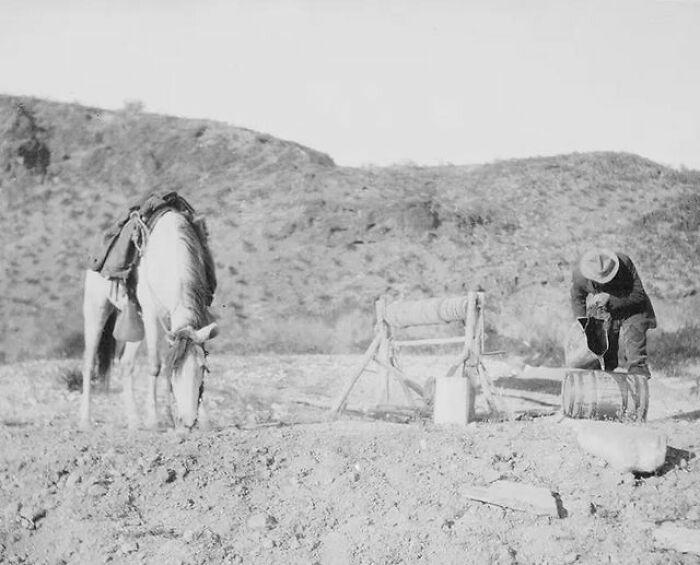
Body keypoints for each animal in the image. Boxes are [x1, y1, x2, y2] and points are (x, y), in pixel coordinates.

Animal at [80, 209, 218, 430]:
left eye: (203, 368)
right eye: (173, 370)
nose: (188, 421)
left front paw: (204, 420)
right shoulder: (153, 315)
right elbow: (155, 365)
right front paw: (153, 419)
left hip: (137, 323)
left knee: (126, 363)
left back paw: (134, 420)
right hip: (96, 309)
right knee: (88, 362)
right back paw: (85, 420)